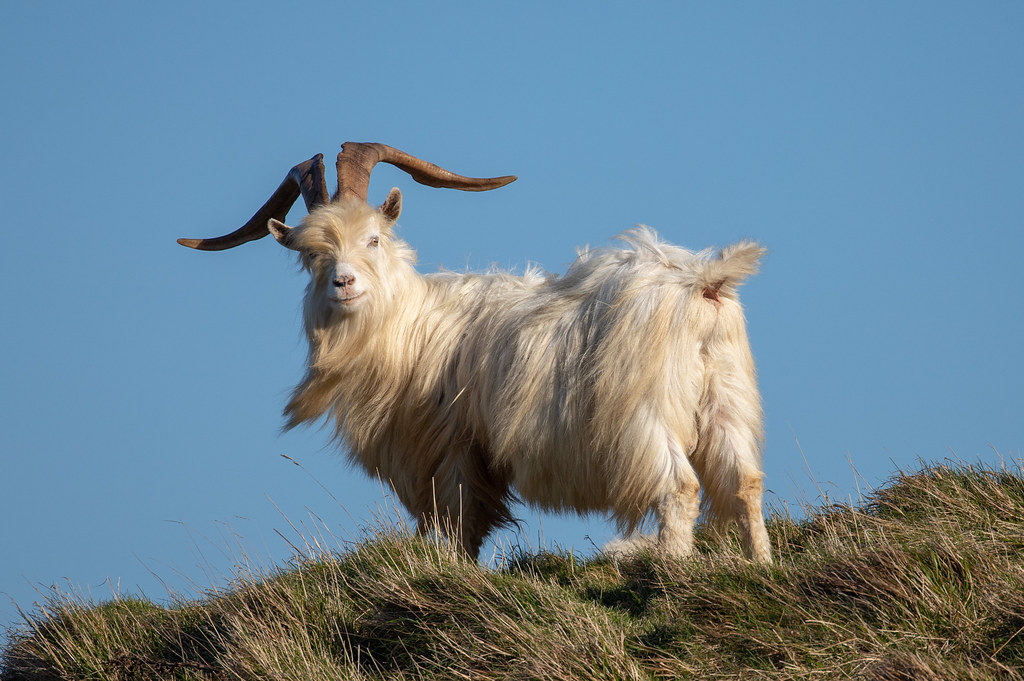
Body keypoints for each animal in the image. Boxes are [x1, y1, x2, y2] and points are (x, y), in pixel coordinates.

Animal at [179, 142, 772, 563]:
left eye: (373, 238)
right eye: (310, 255)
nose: (343, 283)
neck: (413, 326)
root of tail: (704, 280)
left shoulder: (456, 449)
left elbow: (462, 528)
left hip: (646, 414)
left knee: (679, 490)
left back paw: (672, 573)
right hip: (726, 399)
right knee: (744, 485)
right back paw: (760, 569)